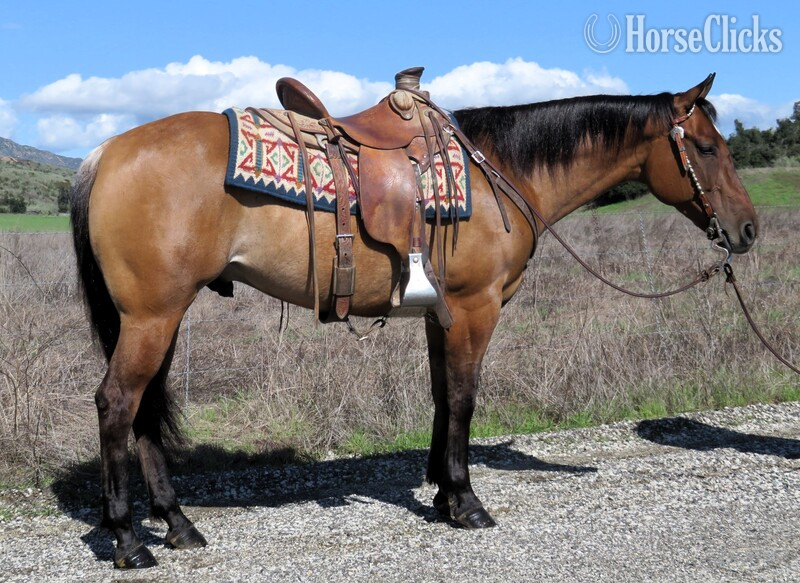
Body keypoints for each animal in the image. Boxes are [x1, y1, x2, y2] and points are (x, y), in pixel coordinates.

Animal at [70, 73, 757, 568]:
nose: (748, 230)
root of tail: (104, 151)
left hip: (162, 316)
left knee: (145, 410)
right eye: (706, 147)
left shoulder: (441, 312)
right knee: (118, 404)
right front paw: (466, 501)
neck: (502, 170)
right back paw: (129, 541)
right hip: (152, 316)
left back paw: (178, 524)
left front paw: (442, 493)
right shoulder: (476, 307)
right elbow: (463, 398)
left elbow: (440, 396)